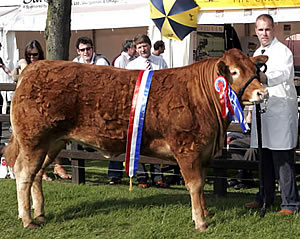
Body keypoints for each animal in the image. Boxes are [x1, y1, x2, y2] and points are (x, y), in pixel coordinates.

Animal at [4, 48, 268, 230]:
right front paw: (200, 222)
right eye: (234, 72)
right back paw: (27, 219)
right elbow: (195, 185)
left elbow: (202, 185)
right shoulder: (188, 148)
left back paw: (39, 213)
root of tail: (32, 68)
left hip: (52, 143)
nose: (262, 93)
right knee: (24, 174)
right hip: (33, 140)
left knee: (37, 174)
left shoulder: (203, 152)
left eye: (255, 71)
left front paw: (206, 213)